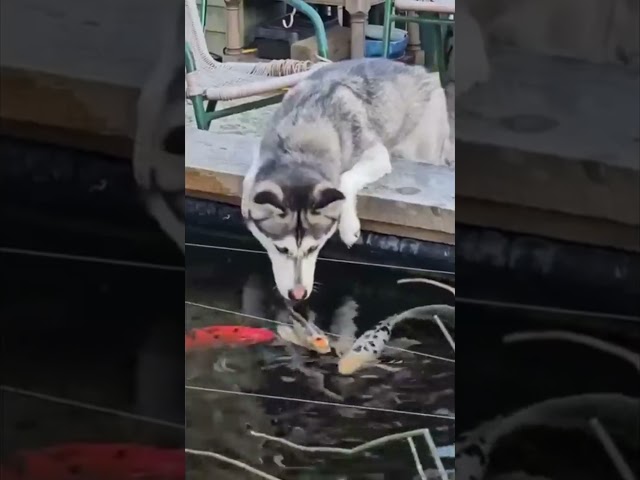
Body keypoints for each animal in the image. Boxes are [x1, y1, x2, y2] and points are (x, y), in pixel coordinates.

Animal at [241, 59, 450, 300]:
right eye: (281, 249)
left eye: (313, 248)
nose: (298, 294)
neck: (300, 145)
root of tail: (421, 70)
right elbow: (249, 180)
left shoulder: (376, 154)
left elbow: (346, 179)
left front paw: (349, 227)